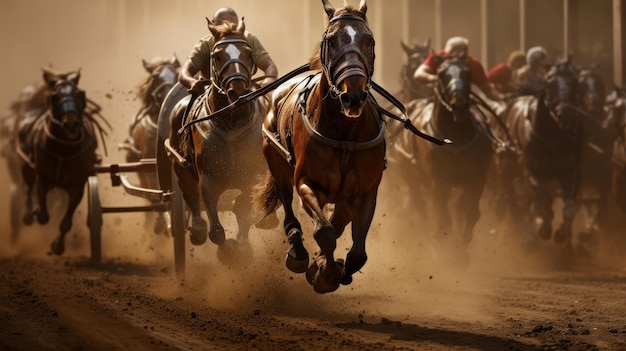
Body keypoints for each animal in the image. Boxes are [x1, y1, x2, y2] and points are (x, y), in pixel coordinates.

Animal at [119, 56, 179, 235]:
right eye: (155, 77)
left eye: (175, 73)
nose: (168, 94)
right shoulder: (148, 164)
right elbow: (153, 192)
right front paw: (159, 224)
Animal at [252, 0, 382, 294]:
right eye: (331, 40)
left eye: (369, 40)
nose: (353, 95)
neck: (345, 135)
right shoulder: (307, 182)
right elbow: (324, 231)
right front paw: (324, 274)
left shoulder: (365, 191)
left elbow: (358, 253)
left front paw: (330, 267)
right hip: (274, 158)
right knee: (287, 200)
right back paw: (298, 251)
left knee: (339, 220)